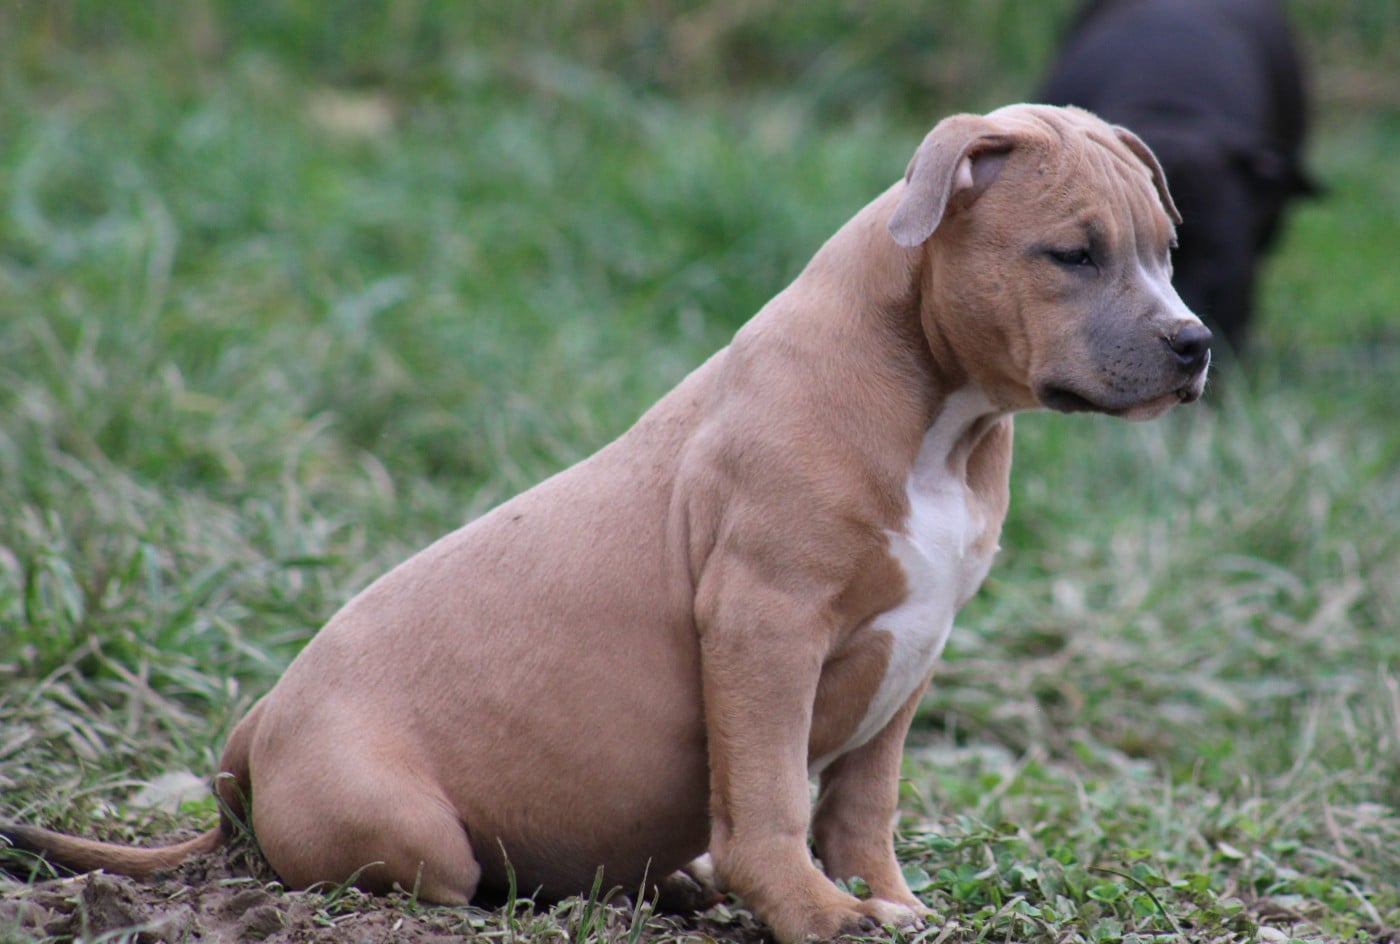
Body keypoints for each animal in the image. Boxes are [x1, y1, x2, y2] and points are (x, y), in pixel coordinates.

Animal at [1, 104, 1210, 944]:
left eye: (1165, 248)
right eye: (1071, 254)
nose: (1194, 342)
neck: (940, 417)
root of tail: (255, 728)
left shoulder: (910, 651)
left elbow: (861, 801)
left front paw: (886, 899)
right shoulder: (763, 626)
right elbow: (771, 794)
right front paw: (817, 912)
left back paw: (671, 880)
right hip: (411, 832)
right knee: (450, 876)